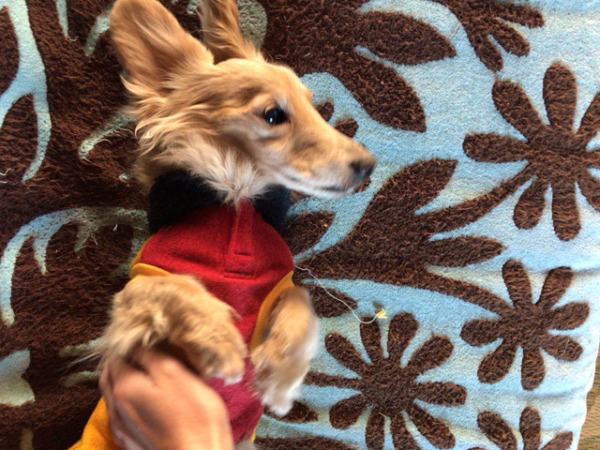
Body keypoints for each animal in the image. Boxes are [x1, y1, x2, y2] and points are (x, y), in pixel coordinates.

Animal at [85, 0, 376, 446]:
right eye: (273, 115)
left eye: (314, 107)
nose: (368, 166)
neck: (234, 200)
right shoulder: (130, 306)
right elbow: (174, 286)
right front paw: (219, 338)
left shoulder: (280, 285)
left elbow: (303, 300)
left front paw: (281, 378)